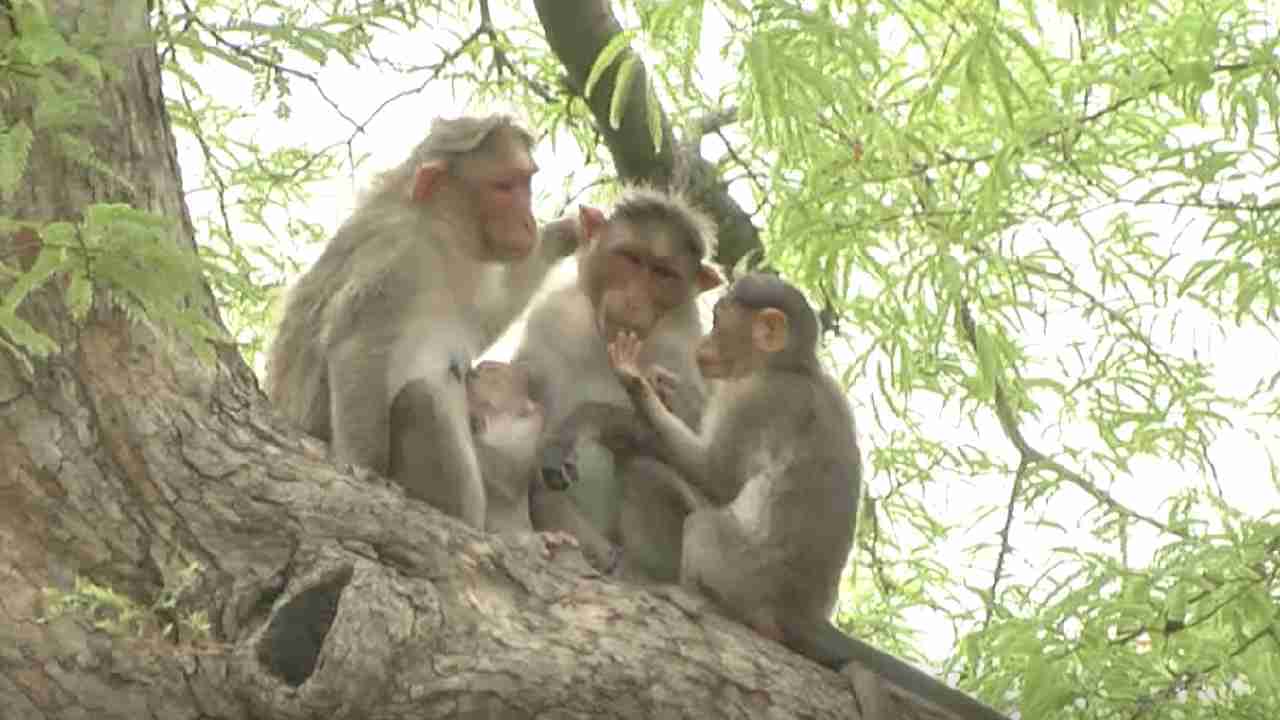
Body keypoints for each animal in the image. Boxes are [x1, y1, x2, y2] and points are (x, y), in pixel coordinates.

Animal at [264, 113, 576, 527]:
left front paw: (565, 233)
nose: (527, 223)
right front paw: (365, 469)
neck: (437, 228)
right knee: (424, 395)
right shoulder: (396, 258)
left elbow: (485, 319)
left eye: (526, 180)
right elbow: (356, 349)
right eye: (504, 186)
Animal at [512, 185, 732, 576]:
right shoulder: (553, 321)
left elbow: (714, 471)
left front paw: (584, 421)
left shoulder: (686, 349)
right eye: (629, 258)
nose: (632, 302)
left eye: (662, 273)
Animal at [606, 270, 1008, 717]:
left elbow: (715, 476)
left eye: (717, 320)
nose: (703, 345)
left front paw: (636, 384)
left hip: (744, 574)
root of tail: (804, 613)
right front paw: (661, 387)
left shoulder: (753, 399)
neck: (794, 367)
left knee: (703, 522)